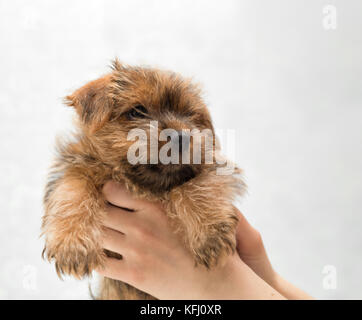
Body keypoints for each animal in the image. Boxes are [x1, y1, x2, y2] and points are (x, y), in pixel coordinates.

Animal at [41, 60, 246, 300]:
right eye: (137, 111)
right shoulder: (74, 167)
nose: (182, 137)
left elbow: (195, 187)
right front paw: (72, 244)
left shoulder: (211, 167)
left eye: (189, 114)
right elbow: (74, 188)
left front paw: (210, 234)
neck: (142, 184)